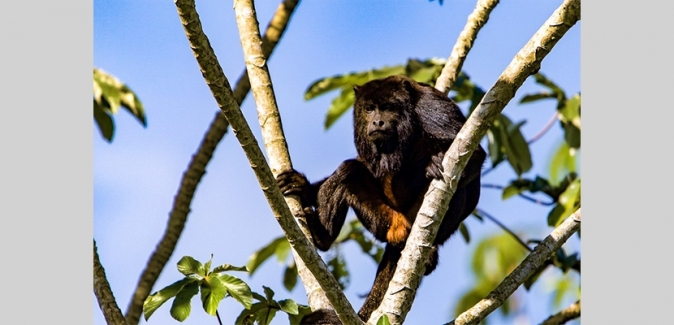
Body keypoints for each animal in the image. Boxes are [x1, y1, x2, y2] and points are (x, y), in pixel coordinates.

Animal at [276, 75, 486, 322]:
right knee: (349, 171)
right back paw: (322, 236)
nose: (377, 122)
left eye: (388, 108)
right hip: (384, 220)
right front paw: (304, 187)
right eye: (369, 109)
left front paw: (434, 164)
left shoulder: (432, 106)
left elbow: (473, 152)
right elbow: (362, 163)